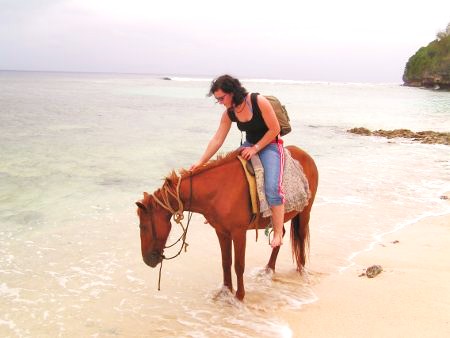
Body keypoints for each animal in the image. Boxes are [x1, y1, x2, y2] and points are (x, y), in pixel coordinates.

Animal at [135, 145, 318, 302]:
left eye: (142, 226)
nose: (146, 260)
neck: (218, 190)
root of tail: (307, 157)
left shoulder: (239, 233)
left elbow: (238, 265)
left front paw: (239, 296)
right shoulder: (221, 231)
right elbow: (226, 262)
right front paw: (226, 291)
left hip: (305, 213)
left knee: (301, 238)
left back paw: (301, 272)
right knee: (280, 236)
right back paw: (268, 270)